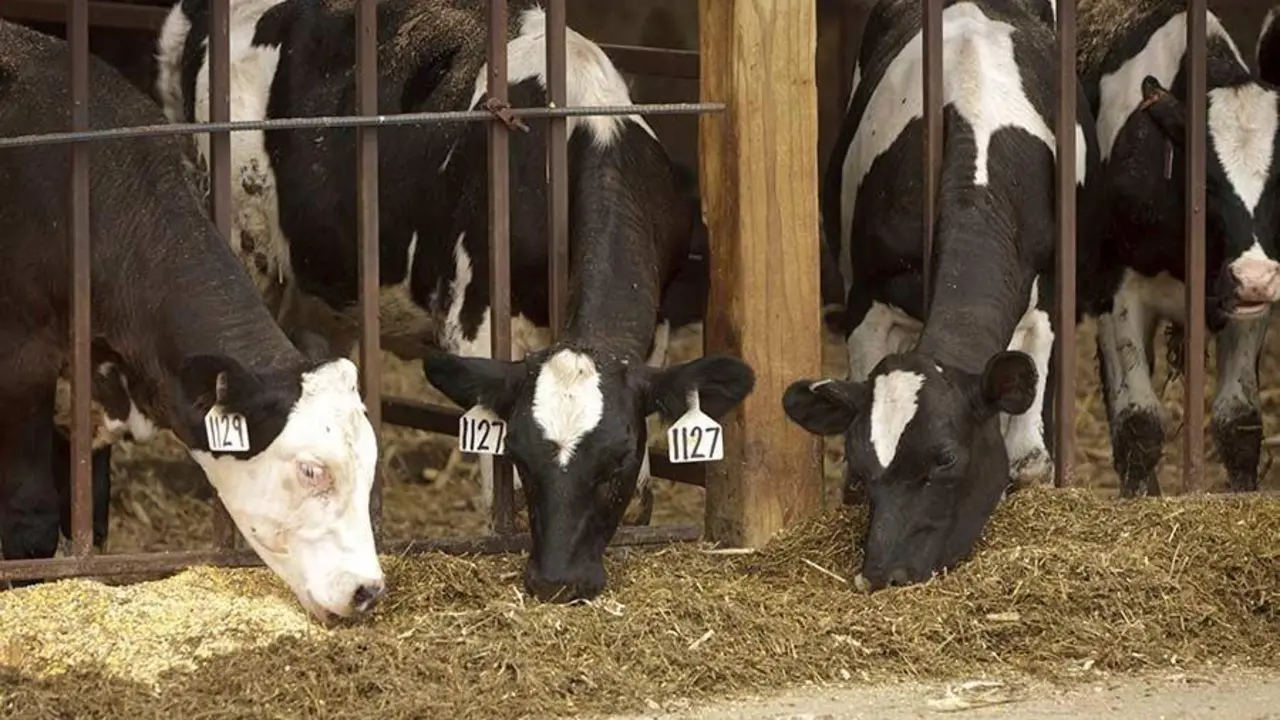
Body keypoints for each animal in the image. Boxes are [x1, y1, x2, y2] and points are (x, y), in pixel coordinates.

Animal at [0, 18, 385, 623]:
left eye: (369, 463)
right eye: (310, 469)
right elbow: (31, 522)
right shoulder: (21, 366)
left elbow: (92, 514)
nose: (369, 590)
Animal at [155, 0, 755, 603]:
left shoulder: (655, 330)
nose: (557, 580)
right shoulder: (475, 319)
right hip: (245, 242)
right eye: (523, 457)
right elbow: (496, 487)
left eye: (617, 462)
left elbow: (641, 497)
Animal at [781, 0, 1102, 592]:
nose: (883, 573)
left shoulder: (1048, 299)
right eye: (864, 462)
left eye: (946, 459)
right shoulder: (868, 298)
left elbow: (1028, 458)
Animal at [1077, 0, 1280, 497]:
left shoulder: (1248, 305)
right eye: (1205, 184)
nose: (1255, 277)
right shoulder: (1117, 293)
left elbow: (1238, 422)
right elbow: (1139, 423)